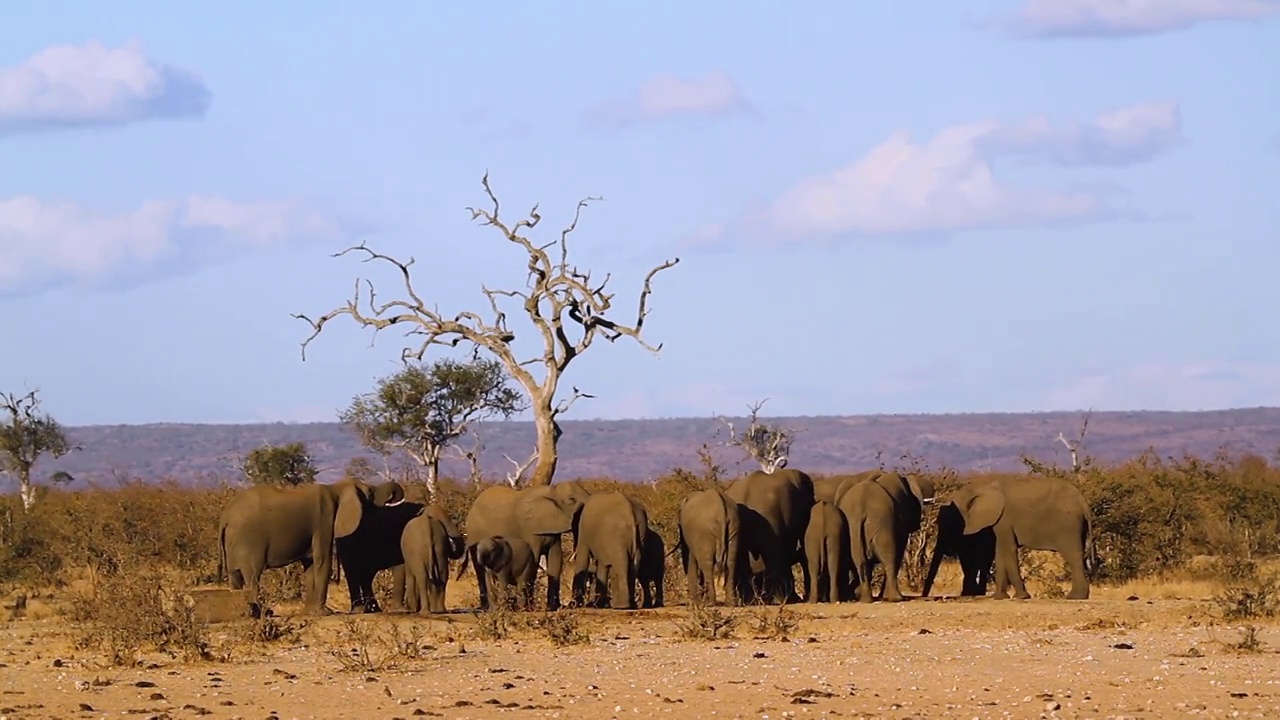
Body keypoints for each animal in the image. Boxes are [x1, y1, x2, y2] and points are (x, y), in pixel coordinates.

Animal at [215, 479, 404, 614]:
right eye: (370, 495)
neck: (335, 488)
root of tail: (225, 516)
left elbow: (310, 565)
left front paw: (309, 611)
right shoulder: (324, 519)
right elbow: (322, 561)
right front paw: (325, 613)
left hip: (233, 541)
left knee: (235, 577)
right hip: (248, 540)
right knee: (253, 577)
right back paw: (263, 613)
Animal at [465, 479, 593, 607]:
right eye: (571, 499)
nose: (572, 604)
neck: (553, 491)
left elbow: (556, 560)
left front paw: (554, 607)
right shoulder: (529, 530)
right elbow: (535, 560)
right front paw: (530, 606)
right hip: (473, 536)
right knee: (479, 570)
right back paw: (486, 607)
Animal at [834, 471, 936, 599]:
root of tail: (859, 511)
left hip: (854, 527)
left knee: (859, 560)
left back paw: (865, 598)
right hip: (883, 523)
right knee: (889, 556)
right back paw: (896, 598)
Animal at [942, 474, 1090, 597]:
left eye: (953, 519)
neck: (981, 487)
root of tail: (1083, 501)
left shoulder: (1004, 519)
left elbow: (1008, 551)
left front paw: (1022, 596)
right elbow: (1000, 553)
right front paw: (1000, 597)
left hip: (1068, 525)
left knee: (1073, 556)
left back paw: (1075, 597)